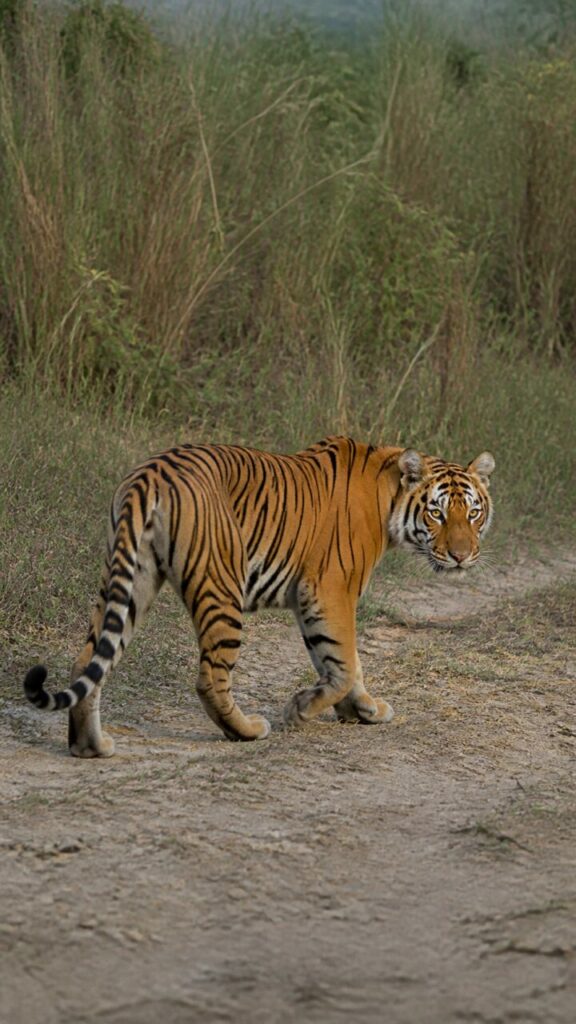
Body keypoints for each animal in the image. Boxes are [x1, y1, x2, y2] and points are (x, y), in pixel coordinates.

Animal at [23, 437, 495, 756]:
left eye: (473, 512)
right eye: (437, 513)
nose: (461, 555)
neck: (391, 499)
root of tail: (151, 473)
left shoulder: (312, 599)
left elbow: (340, 661)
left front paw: (362, 710)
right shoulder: (330, 590)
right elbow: (344, 662)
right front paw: (302, 709)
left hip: (129, 581)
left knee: (88, 660)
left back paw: (91, 747)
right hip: (221, 587)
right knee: (210, 677)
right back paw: (247, 730)